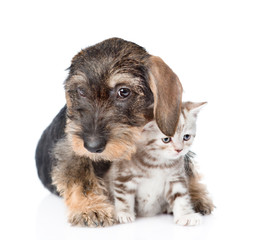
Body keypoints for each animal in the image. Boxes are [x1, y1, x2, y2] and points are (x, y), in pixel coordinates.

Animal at [35, 37, 212, 227]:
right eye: (81, 91)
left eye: (124, 91)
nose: (92, 146)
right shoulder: (70, 151)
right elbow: (81, 178)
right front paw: (92, 207)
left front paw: (192, 196)